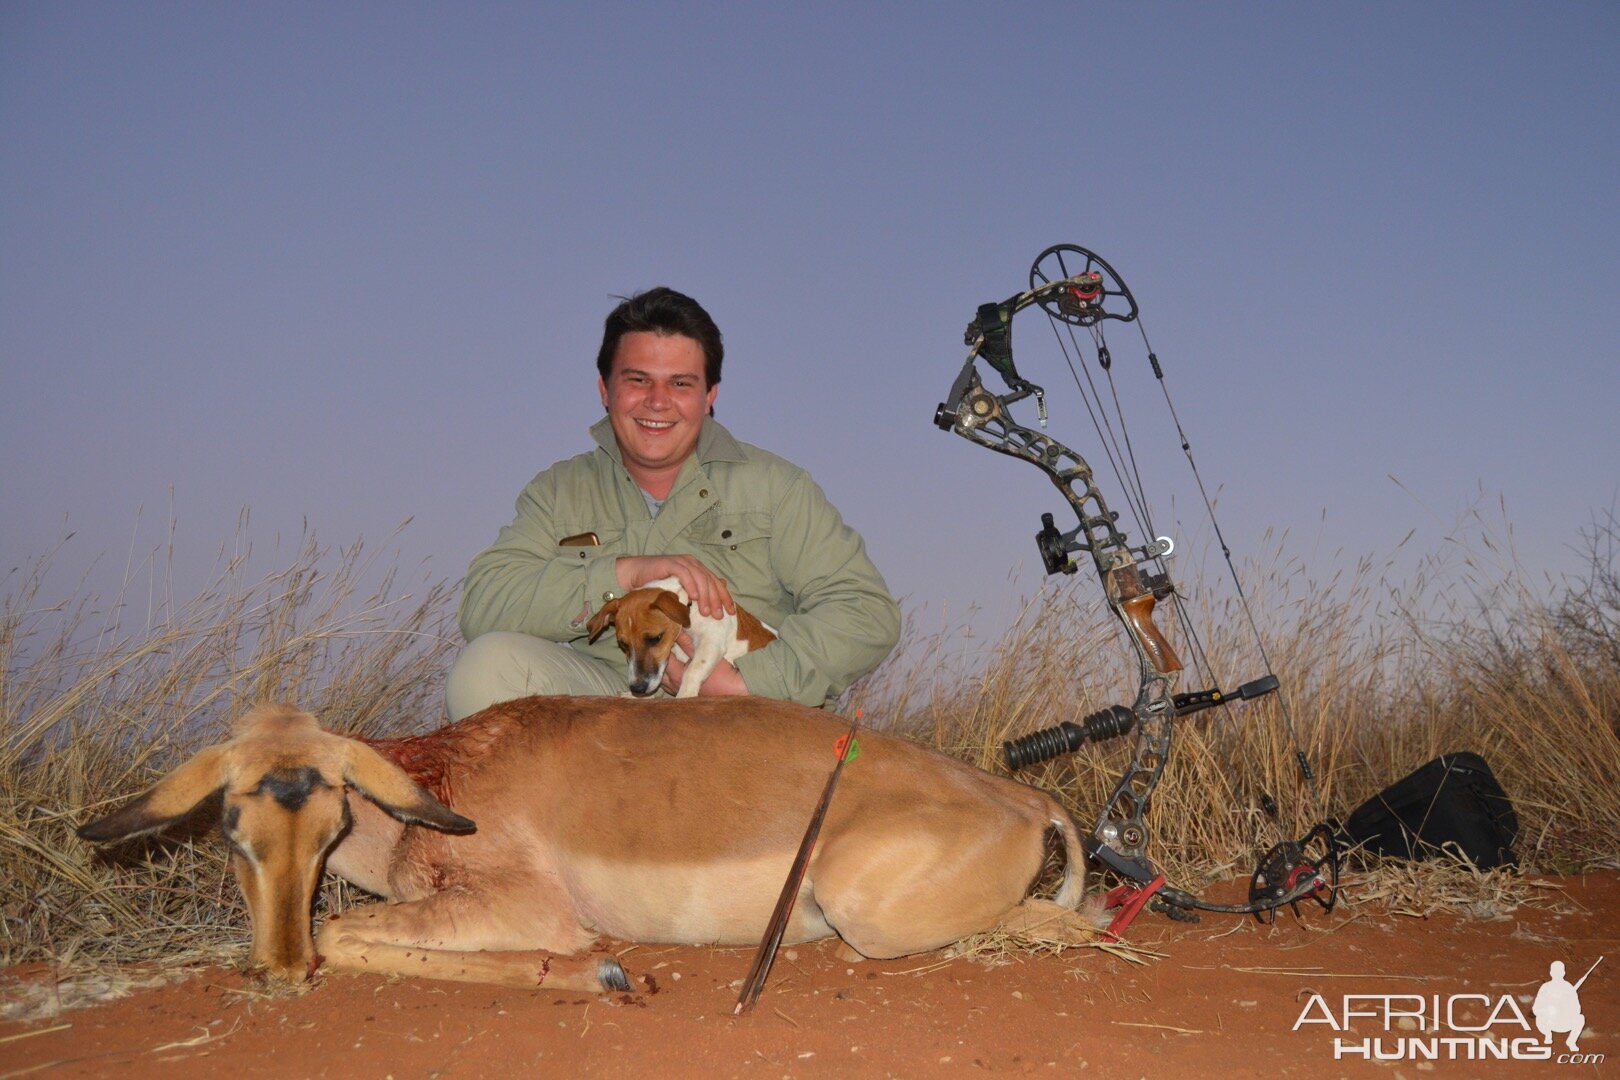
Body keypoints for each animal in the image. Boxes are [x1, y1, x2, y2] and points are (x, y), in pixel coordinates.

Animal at [589, 579, 777, 696]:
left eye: (655, 638)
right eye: (623, 645)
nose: (637, 689)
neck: (689, 610)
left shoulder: (711, 643)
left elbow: (692, 670)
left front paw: (684, 696)